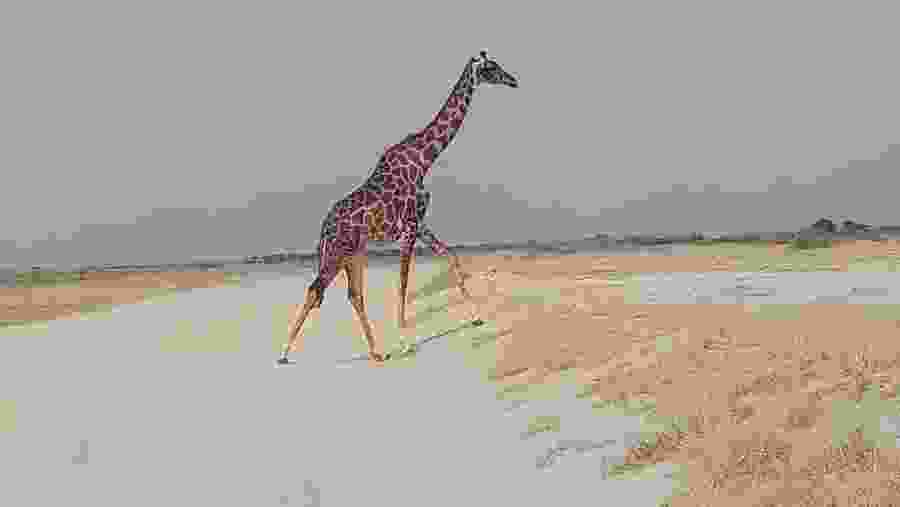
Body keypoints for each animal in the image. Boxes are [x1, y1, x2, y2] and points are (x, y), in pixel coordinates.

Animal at [278, 50, 518, 365]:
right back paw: (283, 353)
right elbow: (403, 282)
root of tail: (323, 229)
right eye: (491, 68)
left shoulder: (421, 224)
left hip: (353, 253)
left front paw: (477, 317)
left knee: (353, 294)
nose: (513, 80)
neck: (425, 158)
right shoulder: (410, 227)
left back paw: (376, 352)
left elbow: (451, 256)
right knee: (315, 289)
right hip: (338, 253)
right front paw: (405, 342)